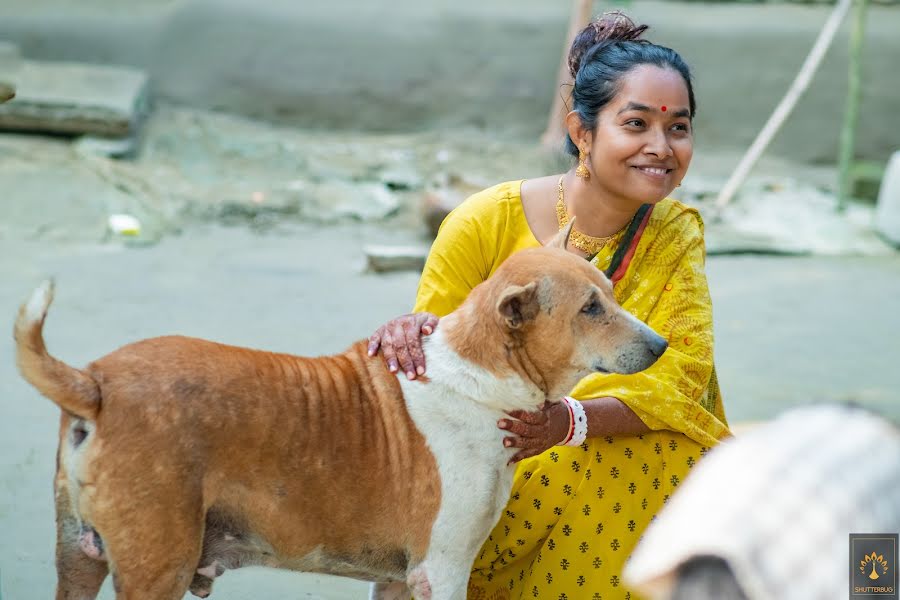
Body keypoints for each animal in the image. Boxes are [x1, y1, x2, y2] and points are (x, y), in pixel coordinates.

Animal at [14, 224, 668, 600]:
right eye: (590, 308)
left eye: (611, 294)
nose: (662, 346)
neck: (480, 374)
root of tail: (97, 383)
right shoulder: (442, 571)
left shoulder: (399, 580)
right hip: (158, 567)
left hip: (78, 559)